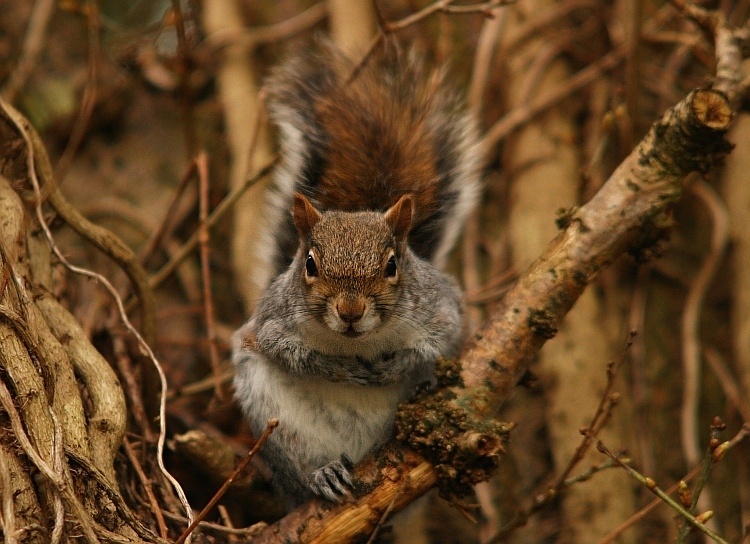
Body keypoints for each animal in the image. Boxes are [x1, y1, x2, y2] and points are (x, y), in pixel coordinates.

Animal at [234, 41, 482, 510]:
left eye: (392, 265)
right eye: (310, 264)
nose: (350, 311)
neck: (360, 343)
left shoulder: (442, 309)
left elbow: (441, 340)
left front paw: (396, 366)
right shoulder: (272, 322)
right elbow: (285, 349)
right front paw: (337, 368)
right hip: (272, 419)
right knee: (299, 468)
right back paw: (323, 474)